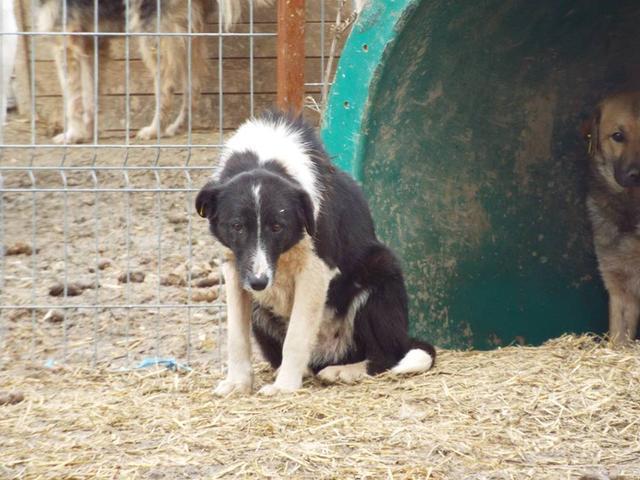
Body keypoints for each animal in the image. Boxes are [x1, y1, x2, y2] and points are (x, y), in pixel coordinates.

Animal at [195, 111, 436, 394]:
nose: (258, 283)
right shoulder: (236, 268)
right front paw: (237, 383)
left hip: (381, 270)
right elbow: (236, 338)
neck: (263, 159)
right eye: (237, 226)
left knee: (387, 356)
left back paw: (343, 371)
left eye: (277, 226)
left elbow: (296, 337)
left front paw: (284, 387)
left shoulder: (316, 270)